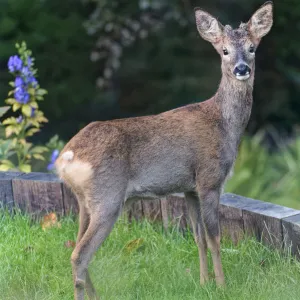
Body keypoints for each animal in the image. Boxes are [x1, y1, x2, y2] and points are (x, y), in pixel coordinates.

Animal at [55, 1, 274, 298]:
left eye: (252, 48)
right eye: (224, 50)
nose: (242, 69)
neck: (224, 124)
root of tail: (67, 157)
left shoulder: (190, 188)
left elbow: (198, 237)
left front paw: (203, 282)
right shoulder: (210, 178)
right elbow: (215, 237)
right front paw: (222, 285)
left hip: (84, 201)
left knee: (77, 249)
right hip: (107, 197)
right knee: (80, 255)